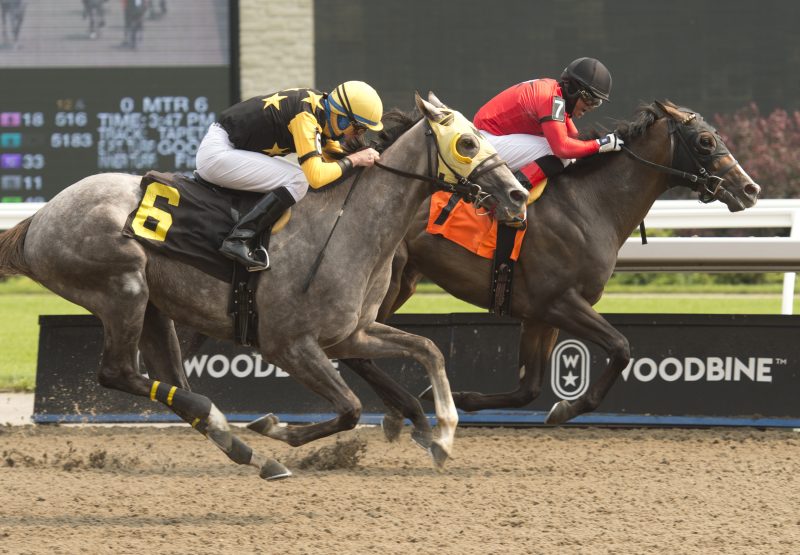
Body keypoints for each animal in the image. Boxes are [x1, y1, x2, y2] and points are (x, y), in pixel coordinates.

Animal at [0, 93, 532, 480]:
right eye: (466, 143)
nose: (518, 194)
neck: (349, 224)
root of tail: (37, 220)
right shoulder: (287, 344)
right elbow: (350, 408)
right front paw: (278, 427)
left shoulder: (351, 334)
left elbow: (428, 349)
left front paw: (443, 435)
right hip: (121, 288)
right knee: (118, 374)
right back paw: (244, 438)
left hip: (152, 308)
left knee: (170, 382)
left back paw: (246, 449)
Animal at [340, 100, 760, 438]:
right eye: (705, 141)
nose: (750, 189)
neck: (591, 203)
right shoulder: (559, 301)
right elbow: (621, 347)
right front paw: (566, 408)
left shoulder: (539, 314)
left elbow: (528, 388)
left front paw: (463, 397)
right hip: (388, 281)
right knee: (354, 350)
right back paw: (399, 412)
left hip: (404, 282)